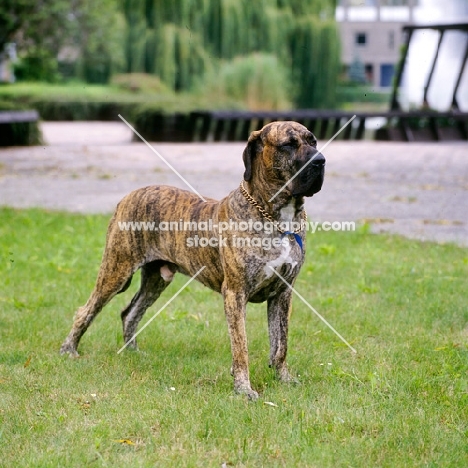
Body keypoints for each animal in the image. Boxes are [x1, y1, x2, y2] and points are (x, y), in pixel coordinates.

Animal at [60, 119, 326, 398]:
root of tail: (129, 195)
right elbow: (241, 346)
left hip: (156, 279)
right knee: (86, 310)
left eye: (313, 141)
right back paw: (69, 350)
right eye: (288, 145)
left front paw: (283, 379)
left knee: (130, 312)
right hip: (116, 271)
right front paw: (243, 389)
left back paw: (133, 353)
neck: (276, 218)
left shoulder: (283, 293)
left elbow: (280, 343)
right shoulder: (235, 293)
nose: (321, 161)